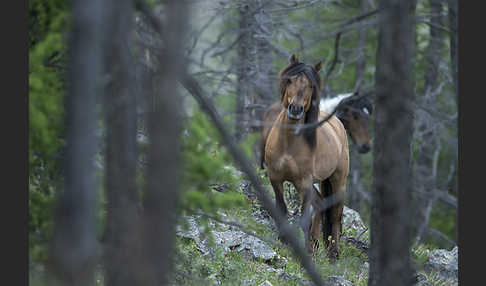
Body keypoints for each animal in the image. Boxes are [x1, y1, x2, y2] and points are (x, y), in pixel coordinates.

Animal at [264, 54, 348, 260]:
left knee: (335, 214)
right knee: (320, 204)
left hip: (338, 180)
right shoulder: (276, 179)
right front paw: (283, 240)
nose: (295, 109)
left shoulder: (303, 183)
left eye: (310, 85)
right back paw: (313, 246)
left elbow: (303, 218)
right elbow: (282, 209)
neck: (288, 145)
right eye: (290, 80)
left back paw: (332, 254)